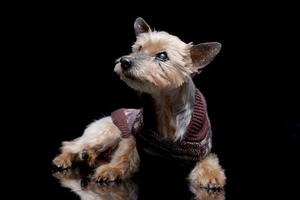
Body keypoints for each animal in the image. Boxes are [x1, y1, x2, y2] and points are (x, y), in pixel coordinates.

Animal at [53, 17, 225, 189]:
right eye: (138, 48)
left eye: (163, 56)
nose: (124, 61)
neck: (165, 108)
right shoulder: (132, 135)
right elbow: (125, 153)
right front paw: (112, 169)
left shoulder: (202, 150)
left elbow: (208, 161)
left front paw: (211, 176)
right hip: (107, 132)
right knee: (72, 144)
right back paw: (66, 158)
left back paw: (87, 156)